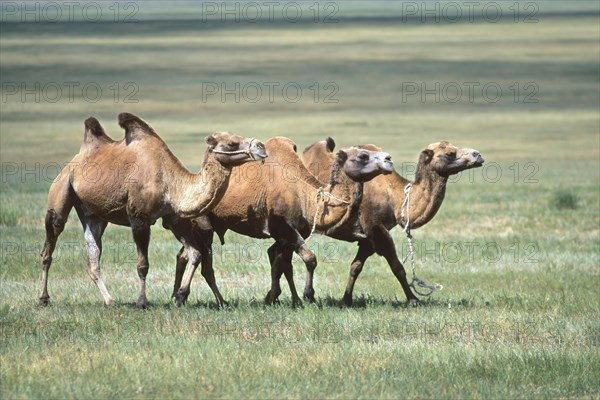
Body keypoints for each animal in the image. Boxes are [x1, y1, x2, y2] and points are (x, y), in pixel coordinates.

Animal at [39, 114, 268, 308]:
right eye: (231, 143)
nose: (261, 146)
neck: (171, 182)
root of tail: (75, 160)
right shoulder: (139, 217)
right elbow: (143, 264)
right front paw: (142, 302)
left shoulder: (174, 217)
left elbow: (194, 253)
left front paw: (180, 296)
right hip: (61, 190)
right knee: (50, 243)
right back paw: (43, 299)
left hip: (93, 214)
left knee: (93, 255)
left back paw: (110, 301)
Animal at [166, 138, 396, 306]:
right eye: (363, 155)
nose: (389, 159)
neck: (305, 196)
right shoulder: (282, 228)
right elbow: (309, 259)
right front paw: (307, 295)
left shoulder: (290, 233)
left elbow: (282, 264)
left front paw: (280, 298)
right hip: (202, 224)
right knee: (202, 261)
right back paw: (209, 300)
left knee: (184, 255)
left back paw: (177, 296)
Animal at [302, 138, 486, 306]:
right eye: (449, 153)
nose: (478, 155)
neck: (395, 198)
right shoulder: (375, 228)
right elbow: (398, 267)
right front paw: (413, 300)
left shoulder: (368, 237)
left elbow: (356, 267)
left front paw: (346, 300)